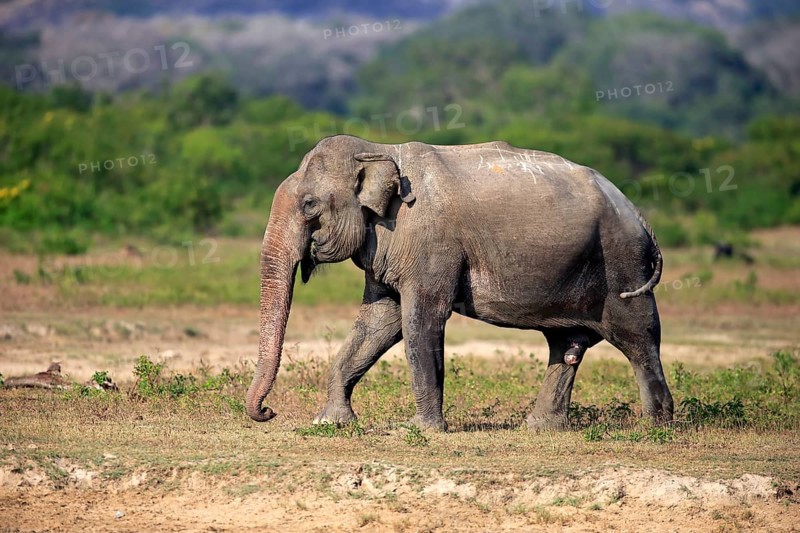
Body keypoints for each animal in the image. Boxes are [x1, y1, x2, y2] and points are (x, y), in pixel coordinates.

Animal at [245, 134, 673, 431]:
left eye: (309, 206)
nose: (268, 411)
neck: (377, 148)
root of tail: (636, 211)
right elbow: (379, 322)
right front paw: (331, 422)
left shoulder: (430, 243)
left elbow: (420, 320)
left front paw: (419, 430)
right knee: (566, 344)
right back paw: (541, 428)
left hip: (622, 263)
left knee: (639, 336)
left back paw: (656, 427)